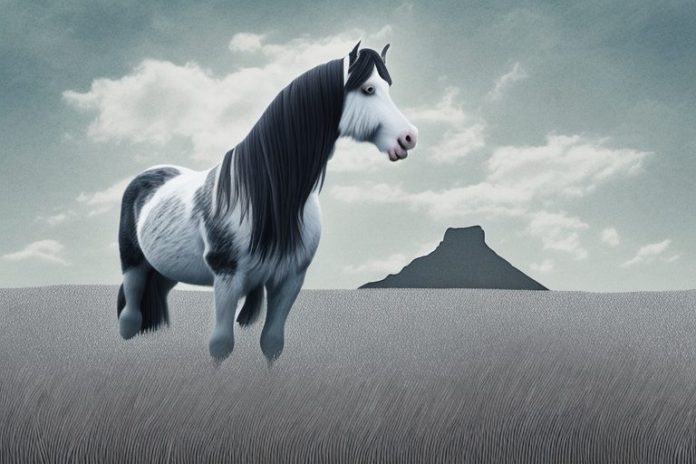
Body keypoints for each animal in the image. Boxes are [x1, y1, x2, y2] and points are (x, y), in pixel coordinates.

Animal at [116, 42, 418, 363]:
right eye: (368, 89)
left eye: (388, 87)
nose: (409, 137)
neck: (267, 196)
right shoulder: (227, 278)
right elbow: (221, 344)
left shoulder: (290, 279)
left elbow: (272, 342)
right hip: (134, 266)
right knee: (130, 318)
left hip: (164, 270)